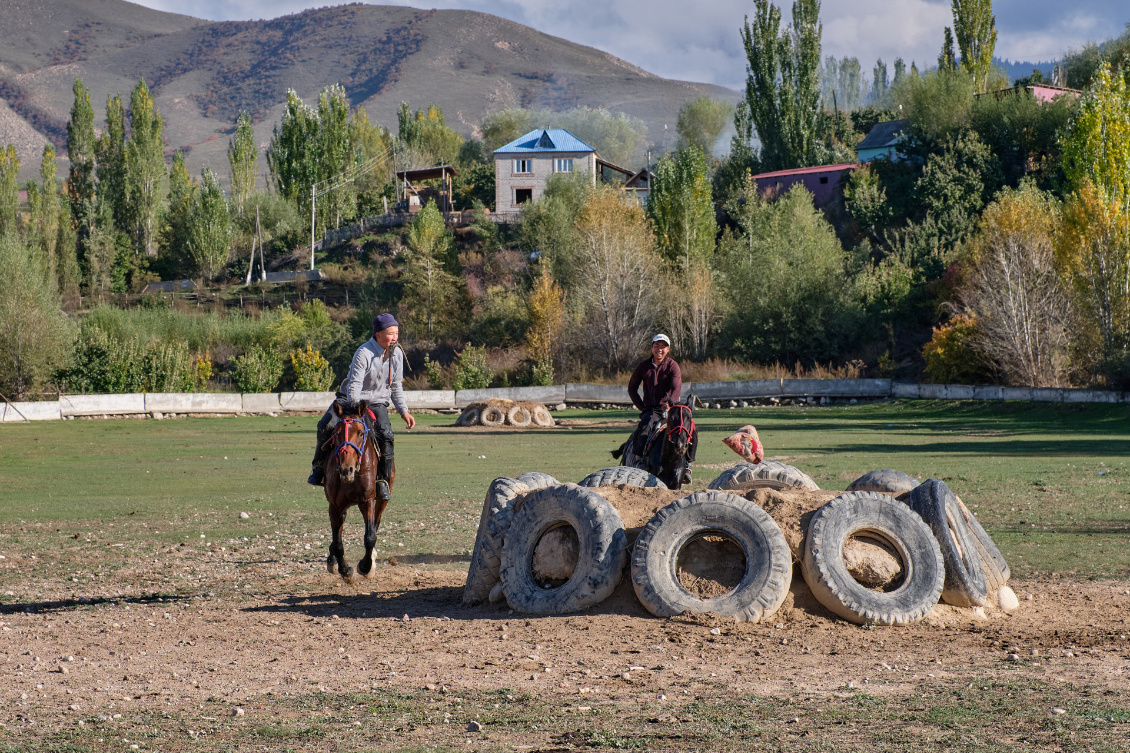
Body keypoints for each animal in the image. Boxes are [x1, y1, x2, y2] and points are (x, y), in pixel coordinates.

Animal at [323, 397, 393, 578]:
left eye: (361, 433)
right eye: (337, 433)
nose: (346, 469)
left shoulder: (367, 501)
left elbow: (370, 536)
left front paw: (366, 566)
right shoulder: (334, 505)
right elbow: (338, 542)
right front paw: (344, 570)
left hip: (382, 498)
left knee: (376, 522)